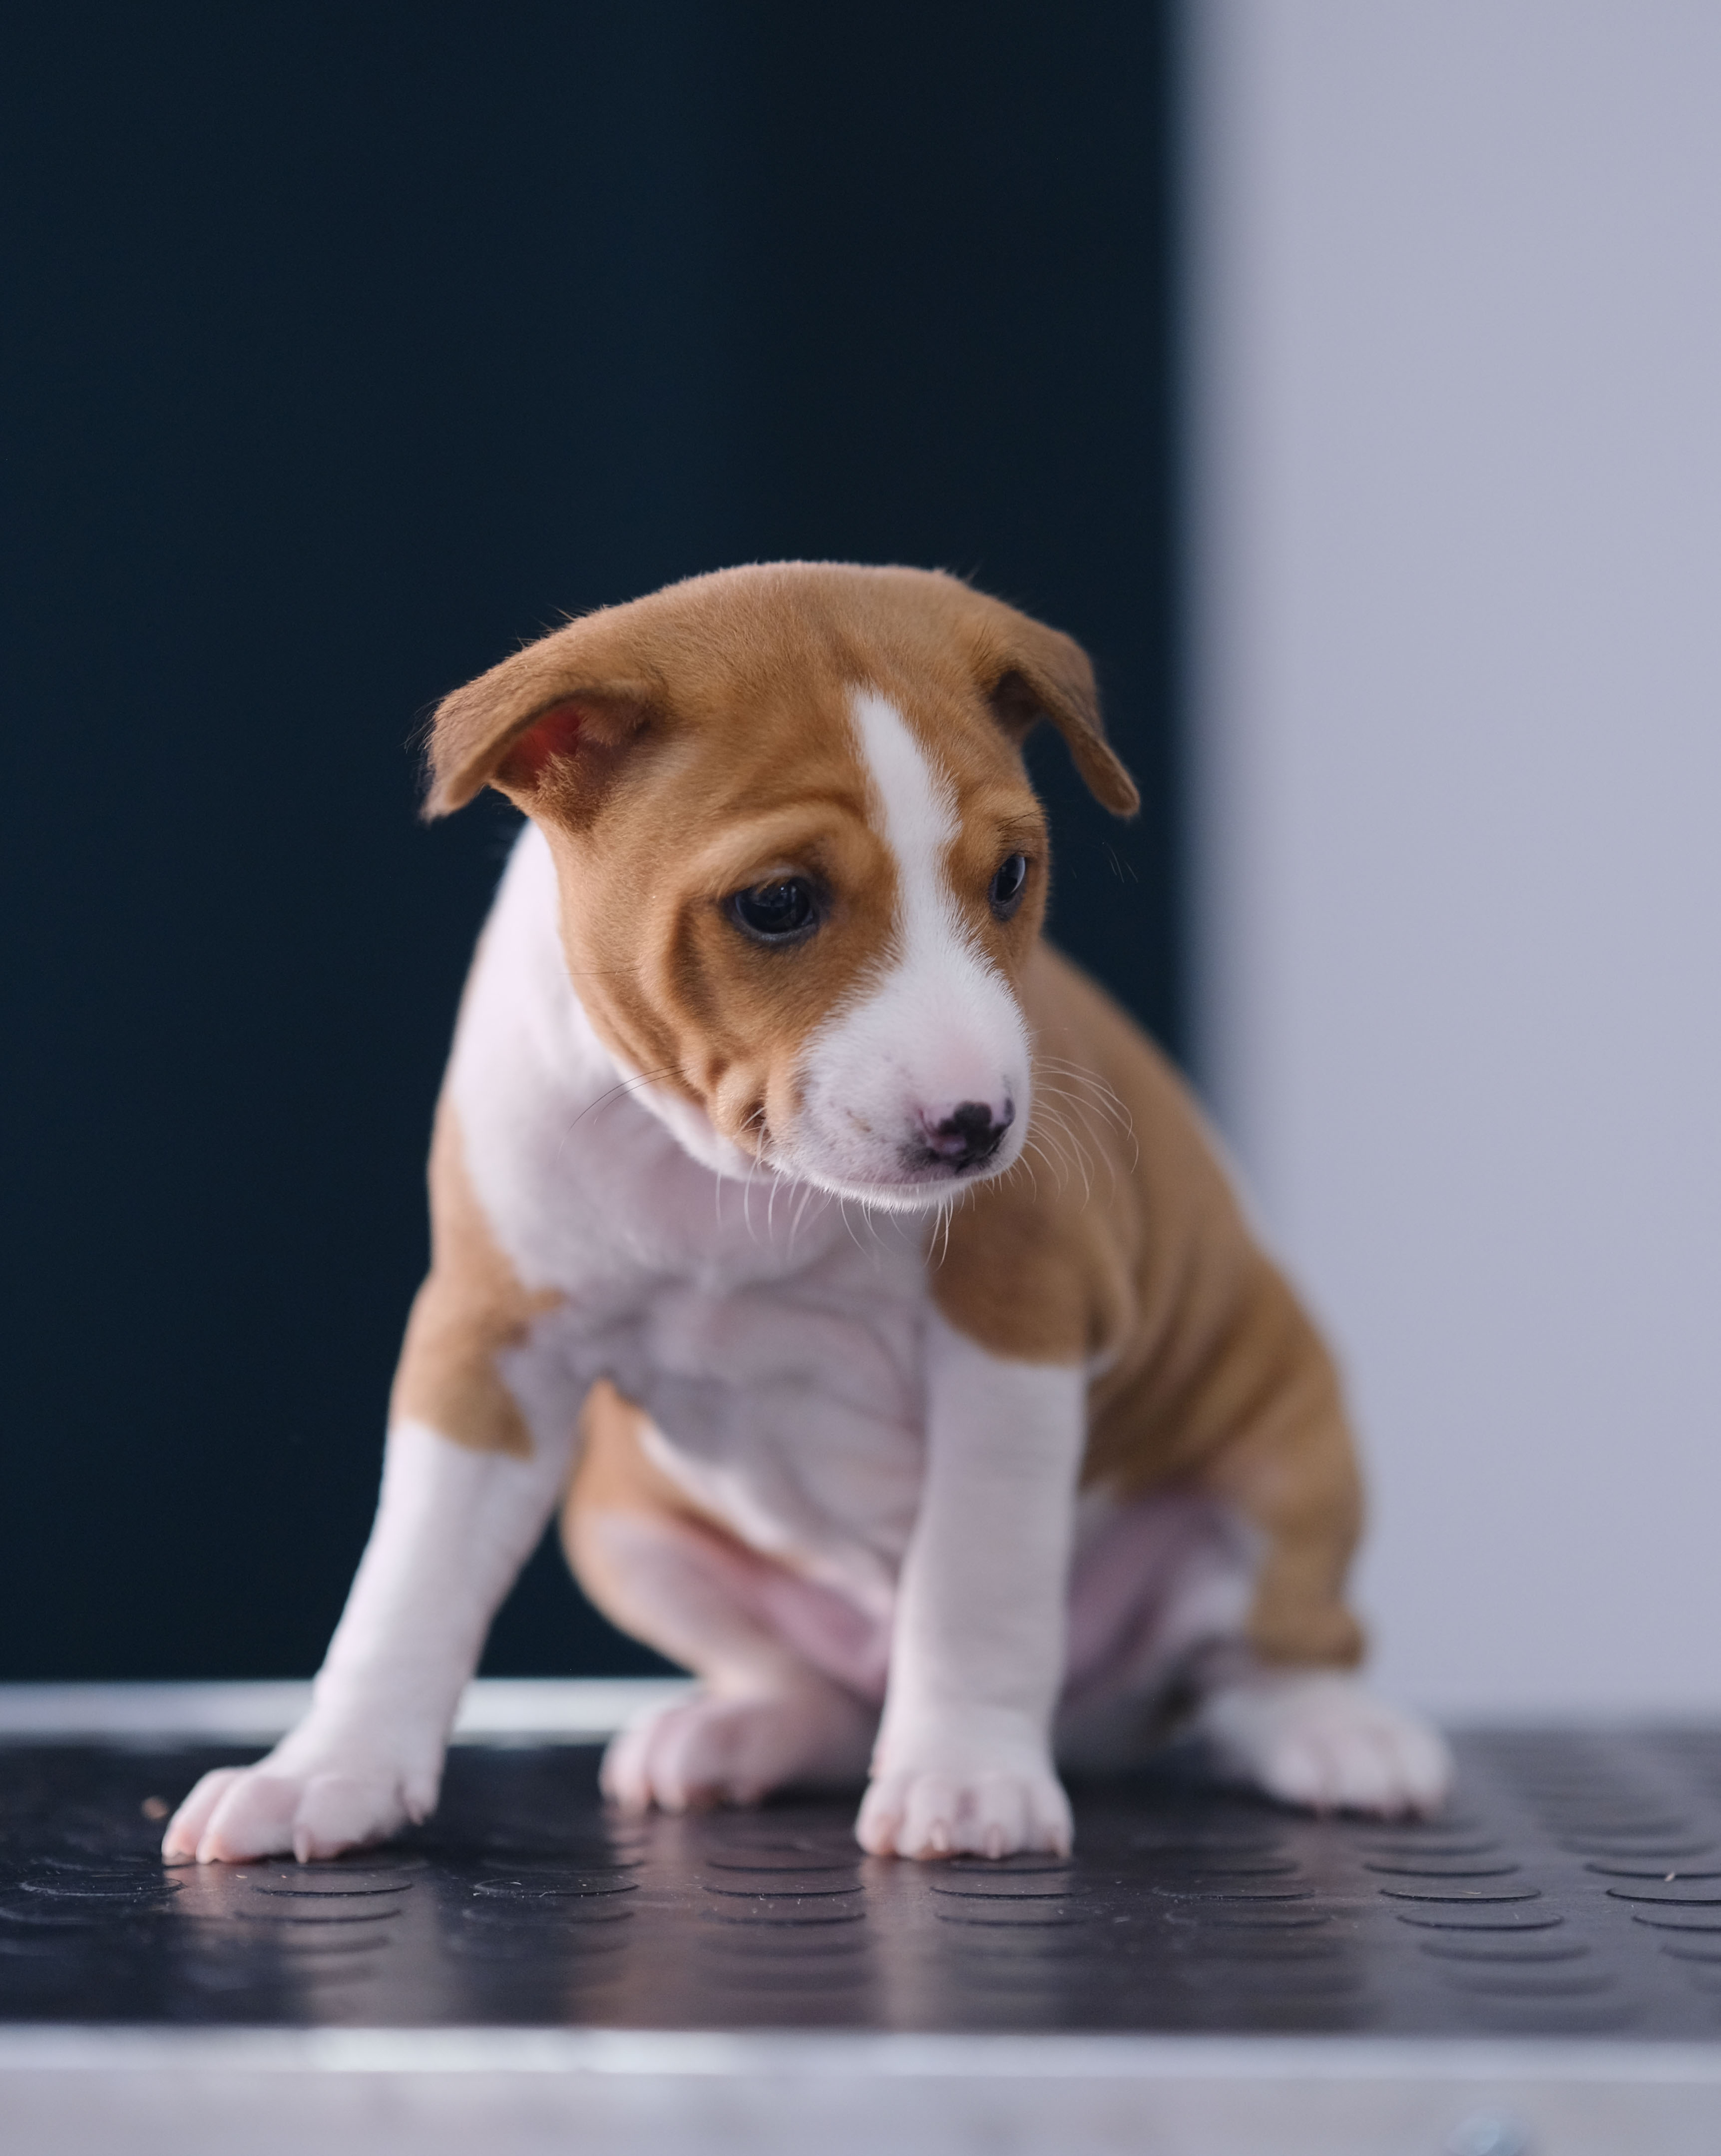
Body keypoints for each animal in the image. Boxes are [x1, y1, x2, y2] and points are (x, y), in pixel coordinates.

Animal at [165, 564, 1458, 1863]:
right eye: (778, 903)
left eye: (1010, 878)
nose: (977, 1124)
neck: (723, 1180)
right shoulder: (486, 1344)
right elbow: (408, 1581)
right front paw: (325, 1768)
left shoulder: (1011, 1336)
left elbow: (974, 1589)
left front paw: (966, 1773)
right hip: (623, 1522)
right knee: (824, 1697)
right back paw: (745, 1733)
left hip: (1284, 1471)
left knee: (1261, 1656)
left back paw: (1332, 1734)